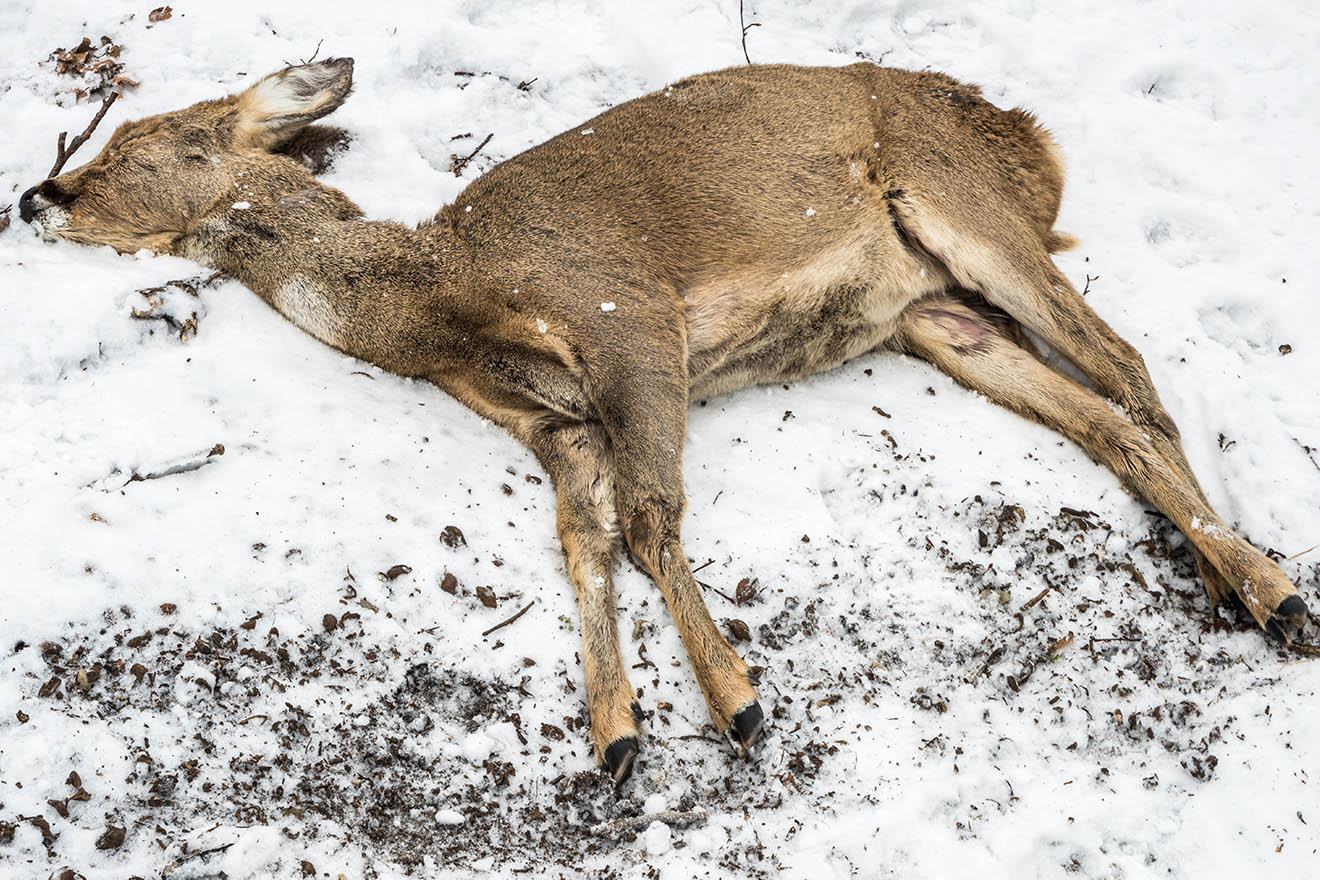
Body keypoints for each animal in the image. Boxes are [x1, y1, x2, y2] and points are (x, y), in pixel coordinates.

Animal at [20, 56, 1309, 786]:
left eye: (144, 144)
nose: (40, 190)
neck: (438, 301)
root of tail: (1030, 140)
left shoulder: (627, 312)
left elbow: (649, 520)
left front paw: (738, 702)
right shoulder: (549, 422)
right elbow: (585, 541)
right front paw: (616, 735)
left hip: (964, 202)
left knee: (1129, 365)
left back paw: (1272, 590)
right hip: (930, 315)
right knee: (1104, 412)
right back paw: (1247, 583)